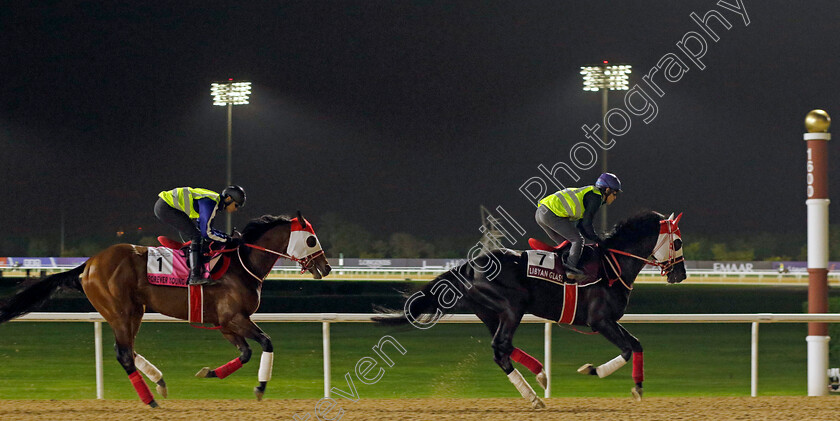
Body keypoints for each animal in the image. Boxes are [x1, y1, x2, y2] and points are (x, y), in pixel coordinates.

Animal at [0, 212, 332, 406]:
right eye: (311, 238)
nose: (326, 268)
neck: (241, 264)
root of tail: (88, 264)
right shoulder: (235, 317)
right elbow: (266, 343)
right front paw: (261, 387)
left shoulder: (226, 322)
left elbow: (246, 352)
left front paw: (209, 373)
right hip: (120, 311)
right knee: (124, 353)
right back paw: (150, 400)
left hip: (132, 311)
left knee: (126, 349)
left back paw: (159, 382)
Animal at [374, 210, 684, 406]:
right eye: (678, 241)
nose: (680, 274)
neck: (612, 264)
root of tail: (471, 265)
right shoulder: (600, 320)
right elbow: (627, 349)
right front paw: (593, 370)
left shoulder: (610, 320)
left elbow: (637, 345)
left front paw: (638, 387)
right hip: (513, 307)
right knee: (500, 347)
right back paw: (535, 391)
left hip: (492, 313)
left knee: (503, 349)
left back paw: (538, 381)